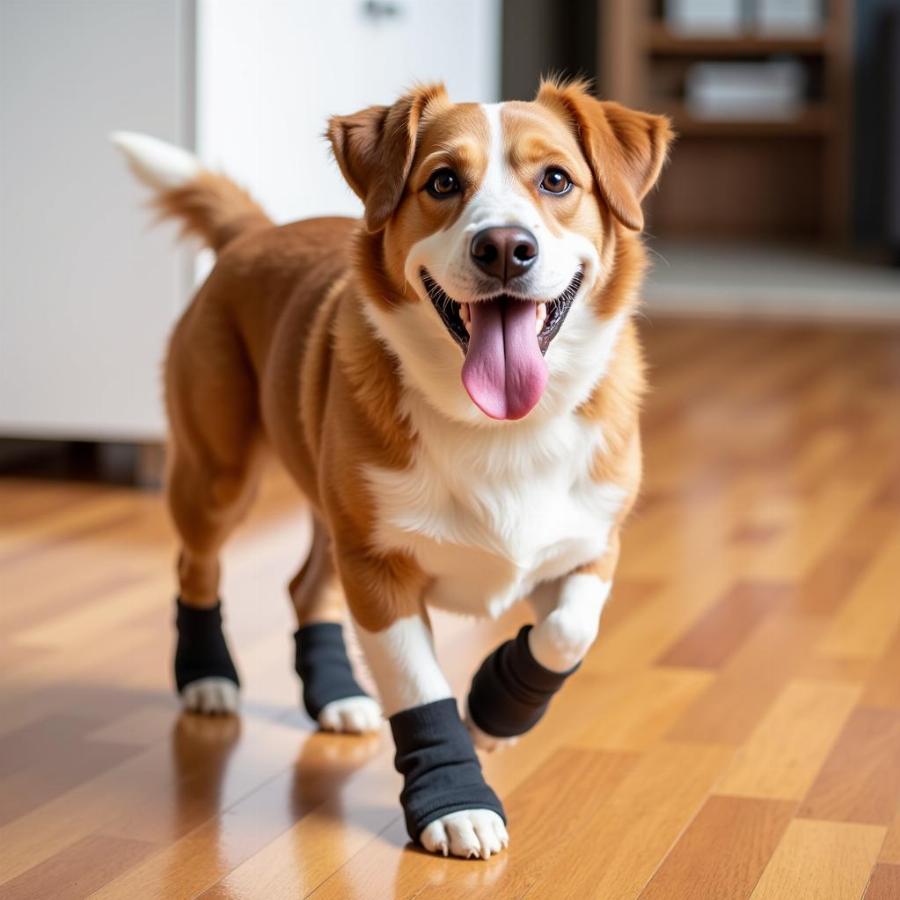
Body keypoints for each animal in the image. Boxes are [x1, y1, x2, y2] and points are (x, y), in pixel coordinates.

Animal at [112, 79, 672, 856]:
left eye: (556, 180)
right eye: (443, 182)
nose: (505, 248)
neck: (499, 428)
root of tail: (255, 233)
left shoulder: (590, 544)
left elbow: (567, 635)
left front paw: (497, 704)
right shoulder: (379, 571)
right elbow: (418, 688)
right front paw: (454, 800)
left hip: (329, 511)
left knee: (305, 587)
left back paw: (336, 694)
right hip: (218, 476)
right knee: (198, 568)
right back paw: (207, 678)